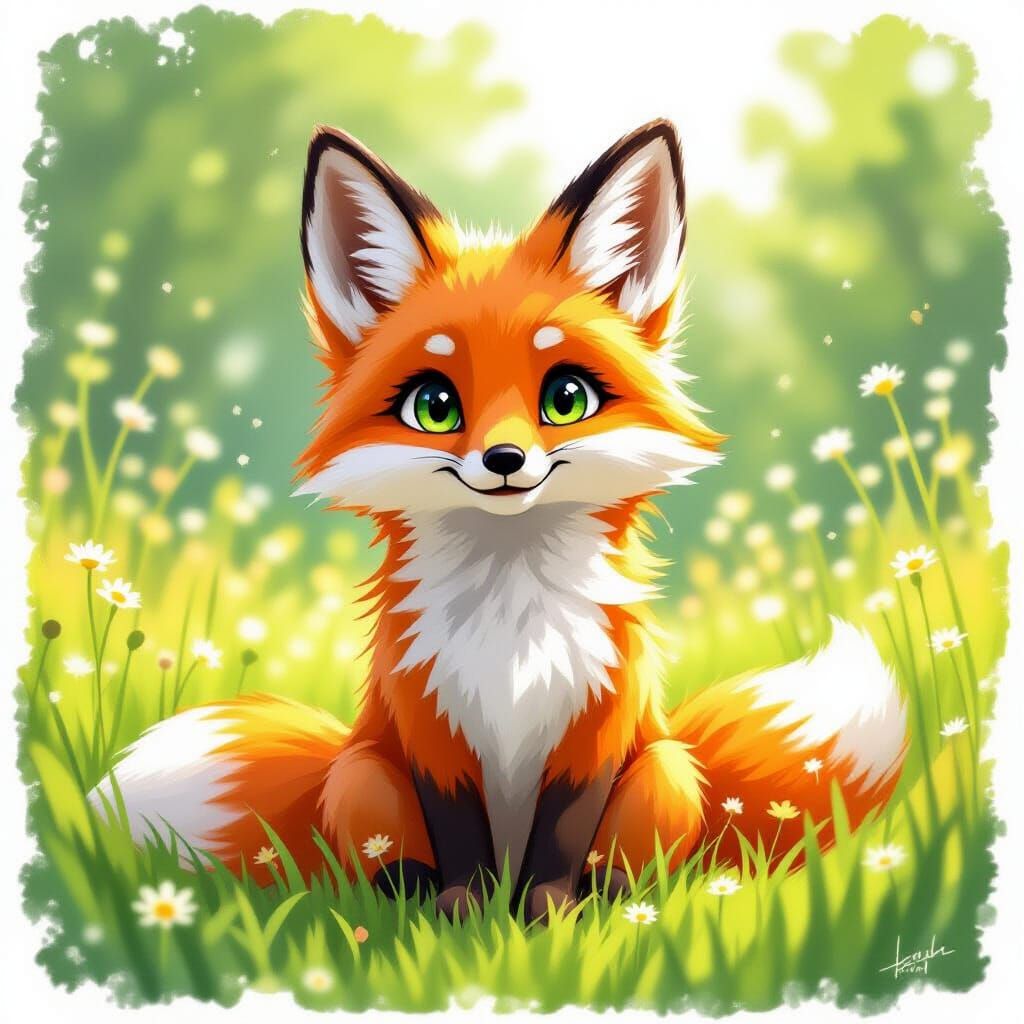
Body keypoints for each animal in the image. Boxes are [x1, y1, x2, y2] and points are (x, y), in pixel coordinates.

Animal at [91, 120, 906, 923]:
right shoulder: (431, 730)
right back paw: (407, 898)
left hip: (664, 770)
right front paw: (469, 914)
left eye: (566, 398)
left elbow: (562, 838)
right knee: (379, 861)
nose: (506, 458)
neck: (512, 622)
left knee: (641, 862)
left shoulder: (593, 728)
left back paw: (615, 899)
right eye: (435, 406)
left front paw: (547, 919)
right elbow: (459, 839)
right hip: (363, 771)